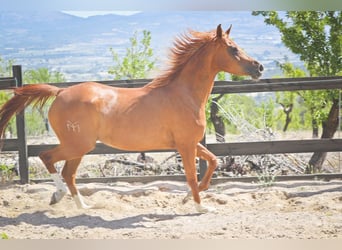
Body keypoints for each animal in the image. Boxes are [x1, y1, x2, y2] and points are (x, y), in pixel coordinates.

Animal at [0, 24, 264, 212]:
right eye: (233, 48)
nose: (259, 67)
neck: (184, 94)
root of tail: (60, 92)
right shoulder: (186, 145)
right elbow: (191, 174)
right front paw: (200, 207)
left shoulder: (189, 143)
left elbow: (213, 161)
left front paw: (189, 198)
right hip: (78, 144)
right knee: (47, 157)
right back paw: (59, 195)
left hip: (78, 147)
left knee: (68, 173)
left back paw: (83, 206)